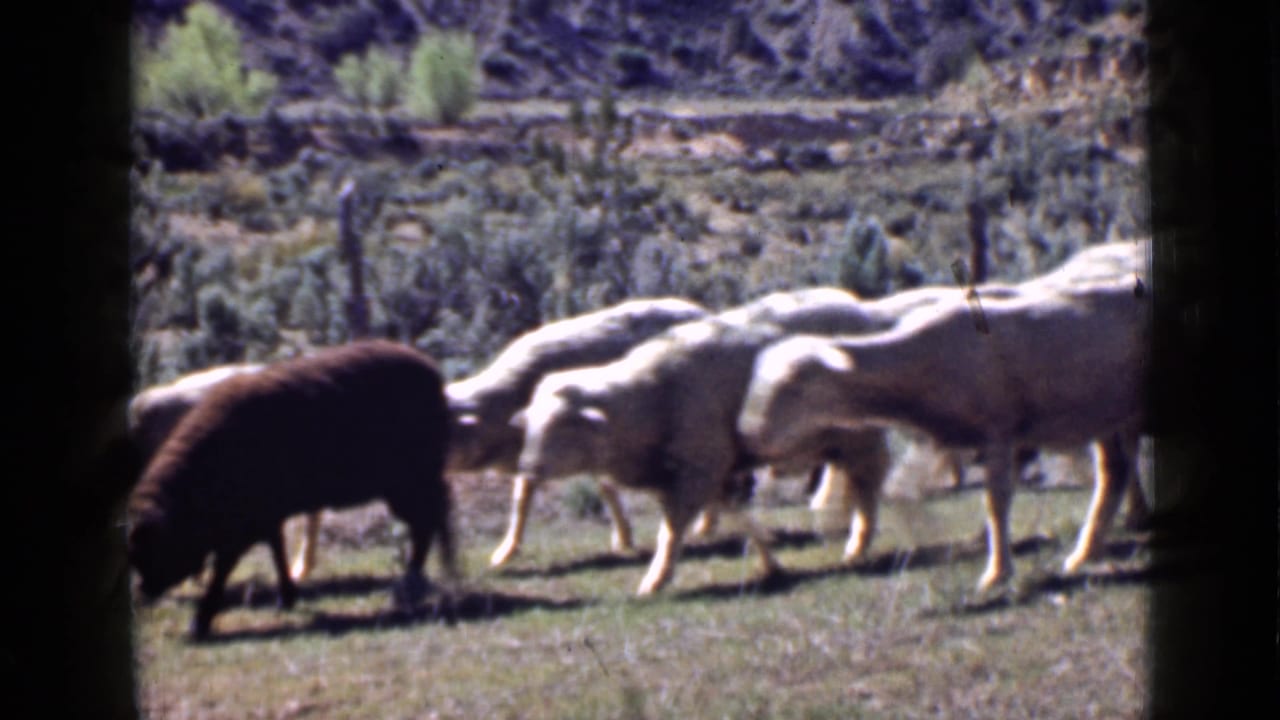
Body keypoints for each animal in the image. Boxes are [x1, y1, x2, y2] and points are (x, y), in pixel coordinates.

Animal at [443, 297, 710, 567]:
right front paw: (624, 539)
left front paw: (505, 552)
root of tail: (698, 310)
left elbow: (522, 498)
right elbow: (606, 487)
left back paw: (705, 525)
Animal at [514, 287, 902, 596]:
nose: (528, 468)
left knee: (869, 477)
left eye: (562, 426)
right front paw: (770, 562)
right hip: (833, 438)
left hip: (858, 433)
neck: (648, 397)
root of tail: (858, 309)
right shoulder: (709, 472)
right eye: (533, 423)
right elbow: (740, 517)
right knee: (851, 475)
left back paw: (858, 542)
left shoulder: (698, 470)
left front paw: (654, 581)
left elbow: (671, 533)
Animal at [738, 277, 1147, 590]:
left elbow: (996, 502)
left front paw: (996, 572)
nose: (748, 435)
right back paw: (1084, 554)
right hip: (1108, 411)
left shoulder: (998, 429)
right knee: (1115, 473)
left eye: (794, 385)